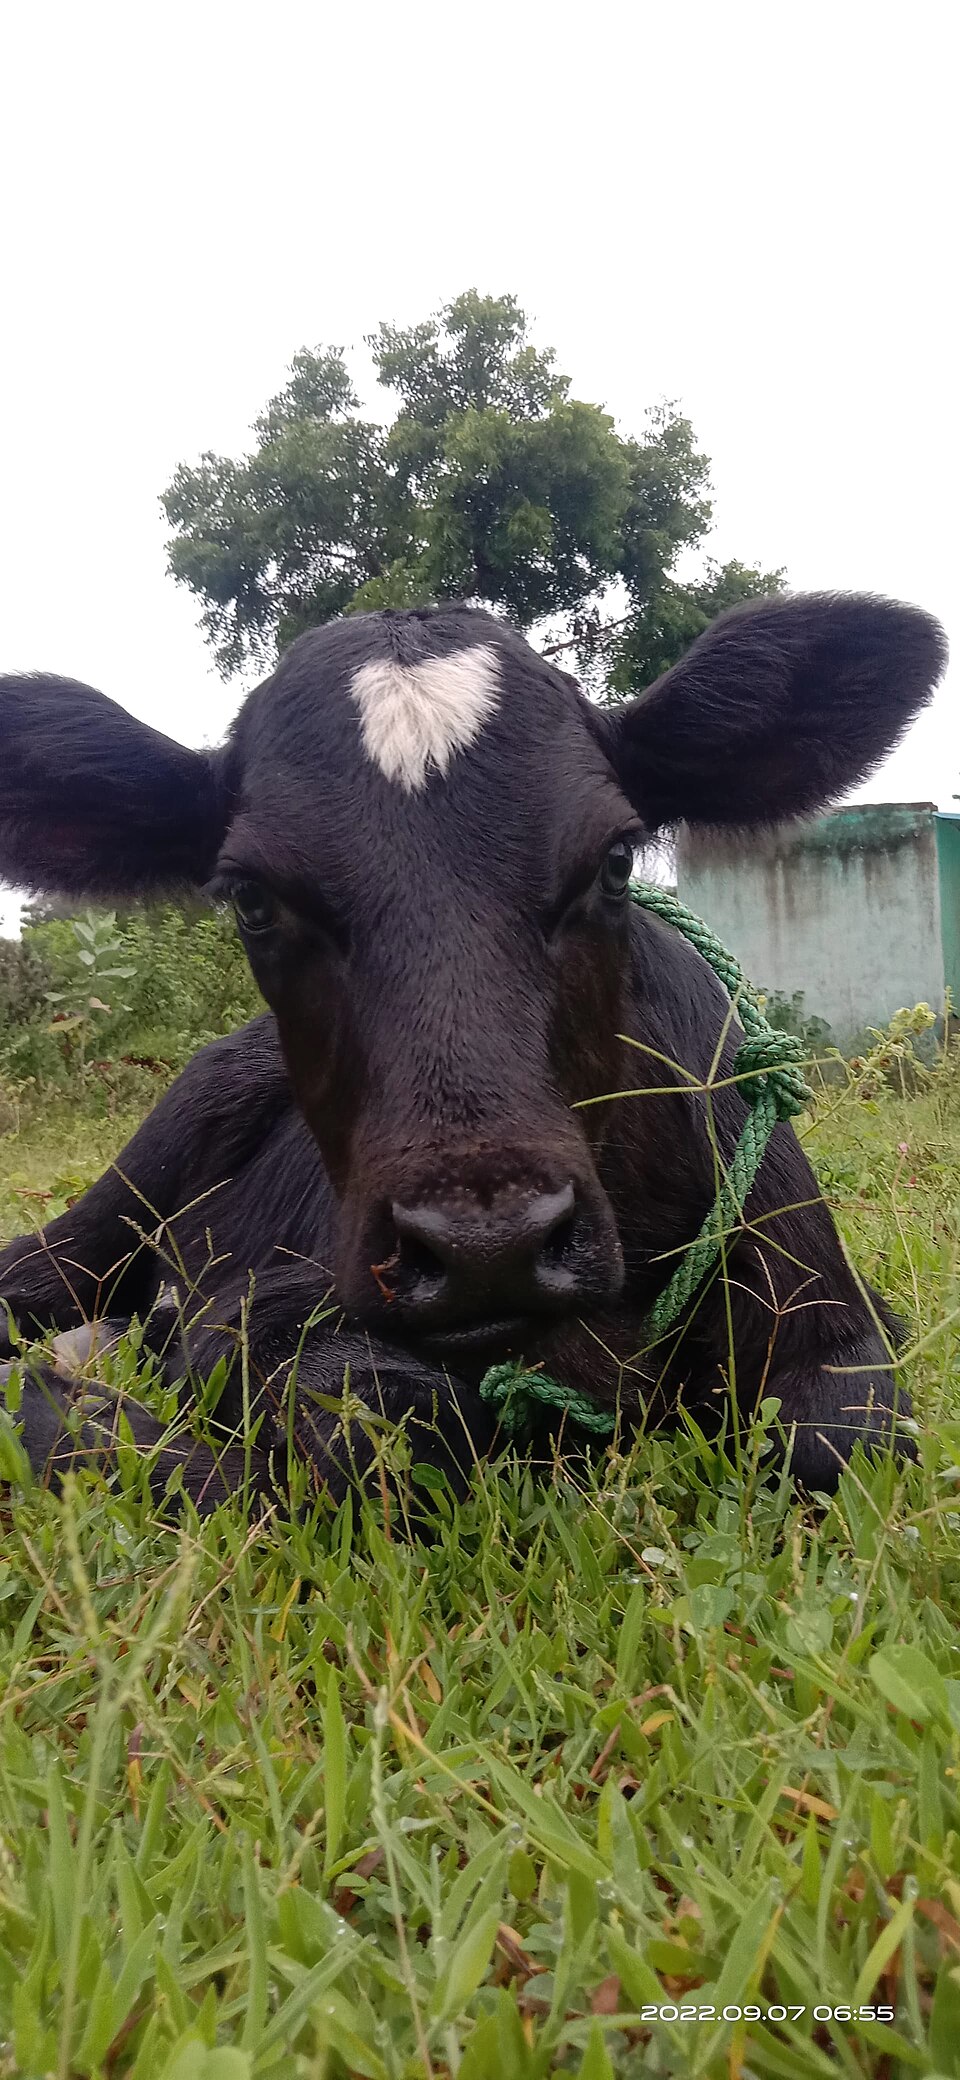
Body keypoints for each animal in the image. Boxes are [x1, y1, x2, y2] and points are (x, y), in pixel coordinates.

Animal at [0, 595, 947, 1510]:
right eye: (251, 900)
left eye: (616, 860)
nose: (485, 1245)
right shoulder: (254, 1310)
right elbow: (372, 1435)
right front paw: (76, 1416)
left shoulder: (828, 1310)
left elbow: (843, 1444)